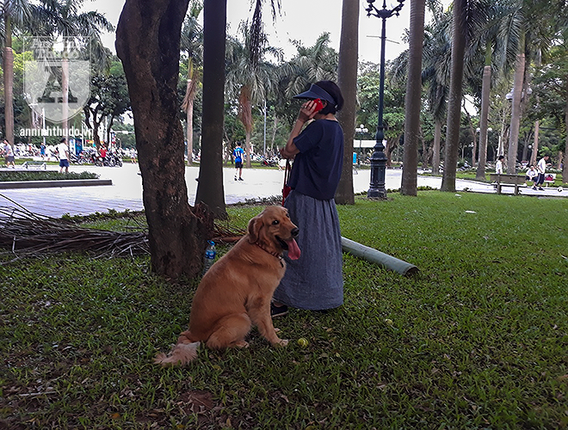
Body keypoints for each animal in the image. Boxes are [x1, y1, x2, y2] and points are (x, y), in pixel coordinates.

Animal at [153, 206, 300, 366]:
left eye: (287, 216)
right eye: (275, 222)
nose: (296, 231)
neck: (261, 247)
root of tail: (190, 334)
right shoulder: (260, 300)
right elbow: (267, 324)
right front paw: (277, 342)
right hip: (241, 317)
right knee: (212, 343)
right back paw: (240, 343)